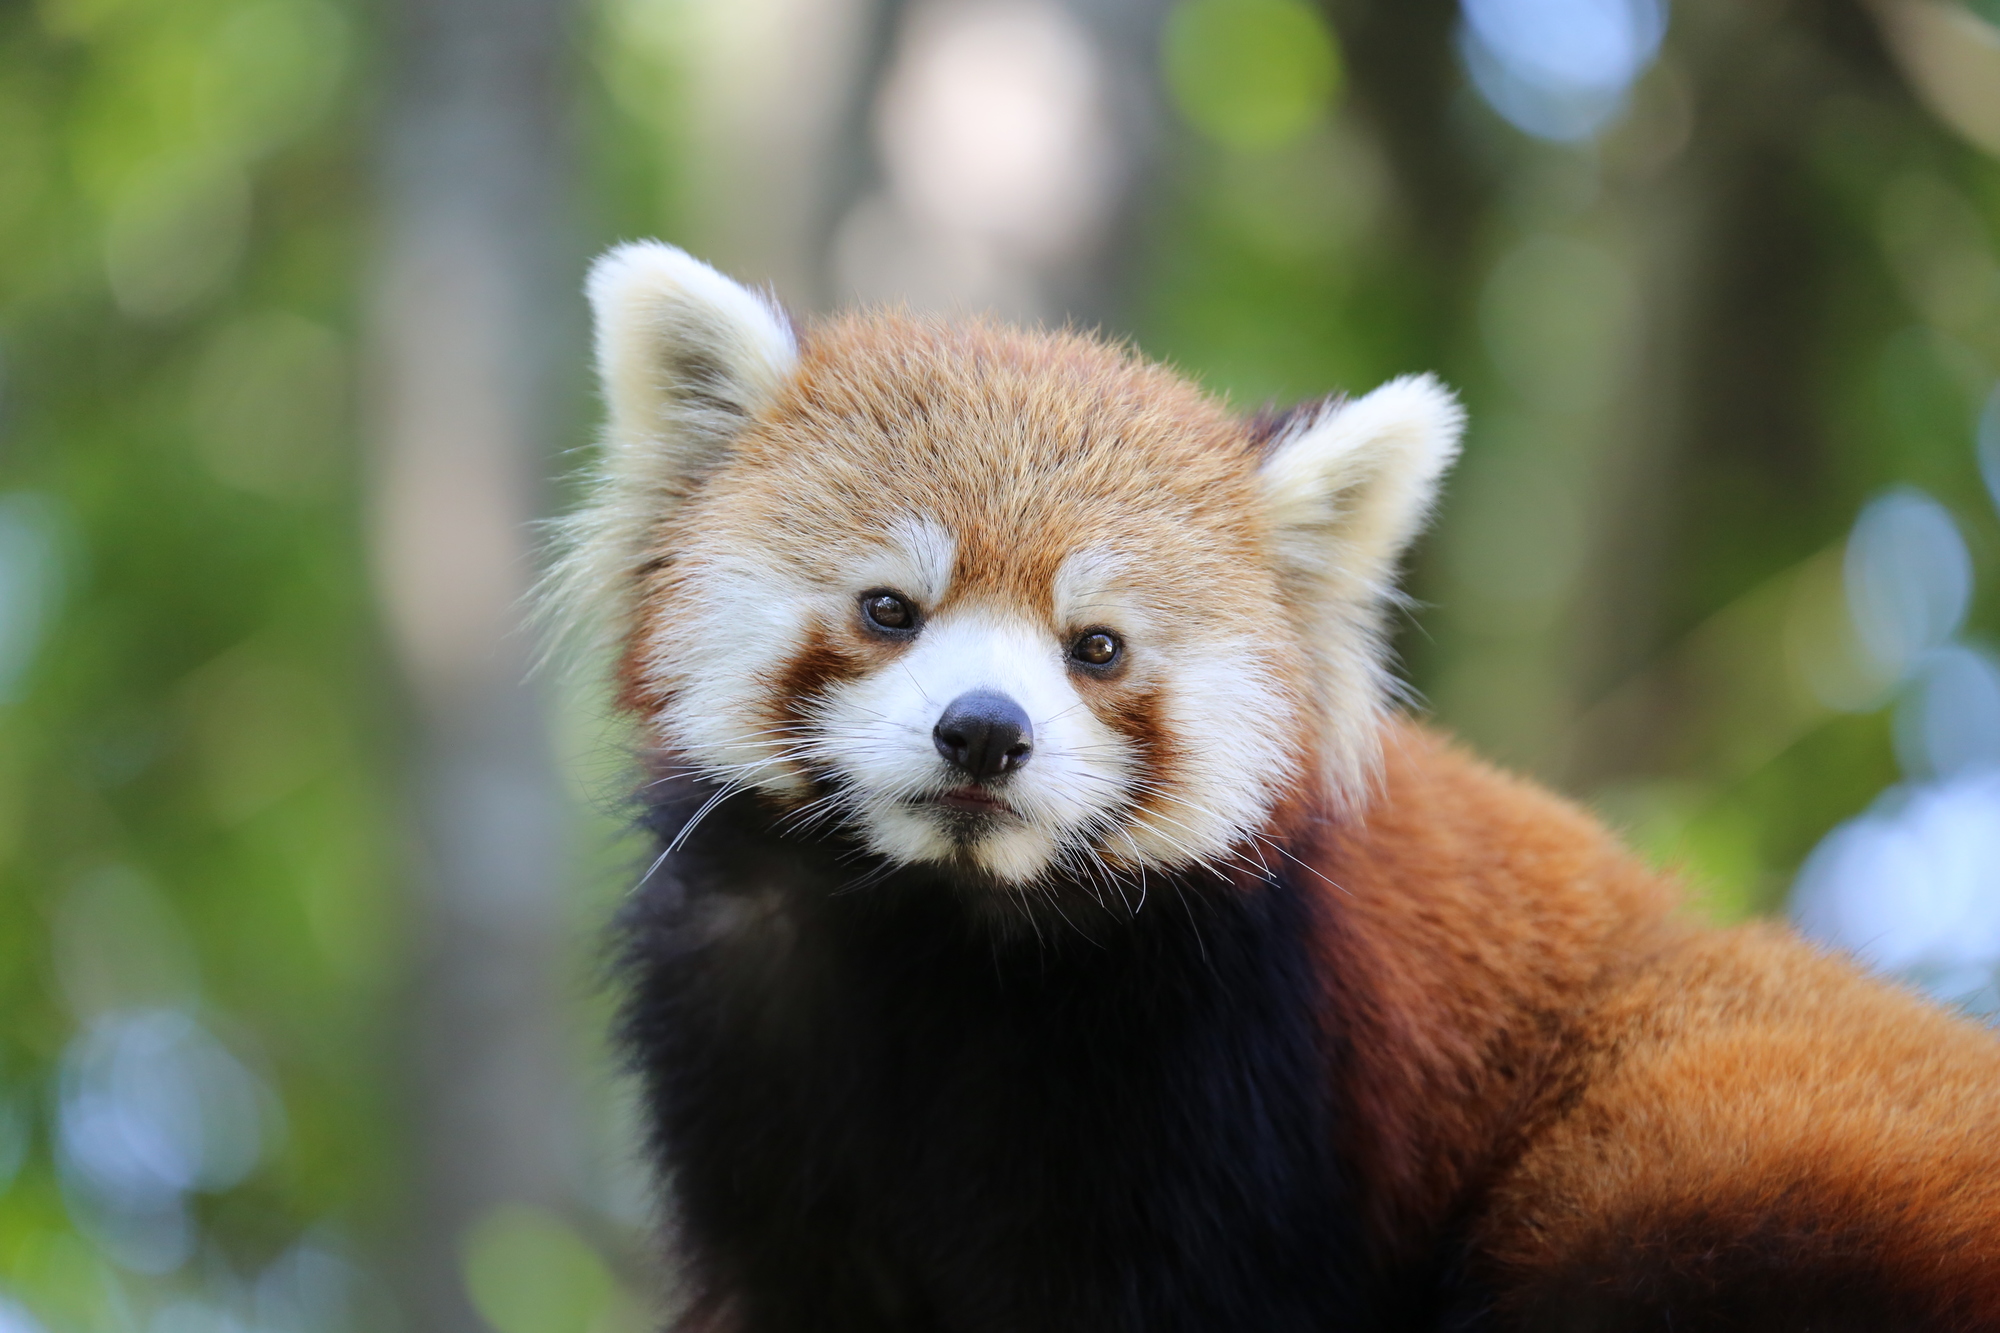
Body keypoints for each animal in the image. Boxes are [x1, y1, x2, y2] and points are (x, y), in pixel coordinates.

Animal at [556, 241, 2000, 1328]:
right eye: (887, 609)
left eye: (1096, 647)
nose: (983, 735)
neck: (946, 934)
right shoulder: (759, 1045)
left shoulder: (1227, 1069)